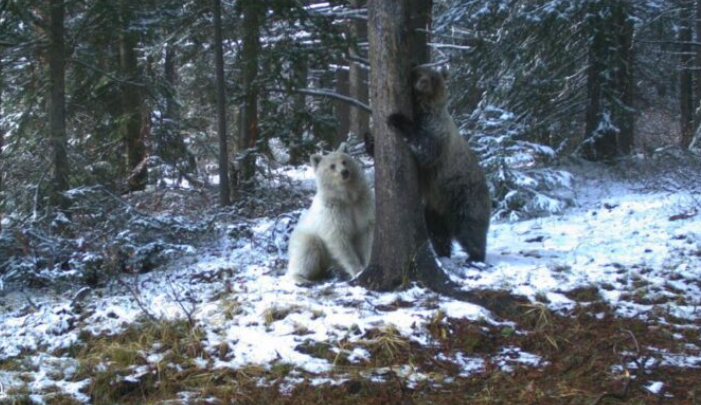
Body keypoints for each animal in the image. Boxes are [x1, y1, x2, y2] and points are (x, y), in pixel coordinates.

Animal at [286, 144, 372, 282]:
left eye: (344, 161)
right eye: (332, 166)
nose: (344, 172)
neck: (346, 198)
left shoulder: (361, 204)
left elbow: (366, 232)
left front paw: (367, 263)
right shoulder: (333, 212)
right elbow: (340, 240)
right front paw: (357, 271)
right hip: (305, 237)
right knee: (306, 251)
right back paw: (301, 278)